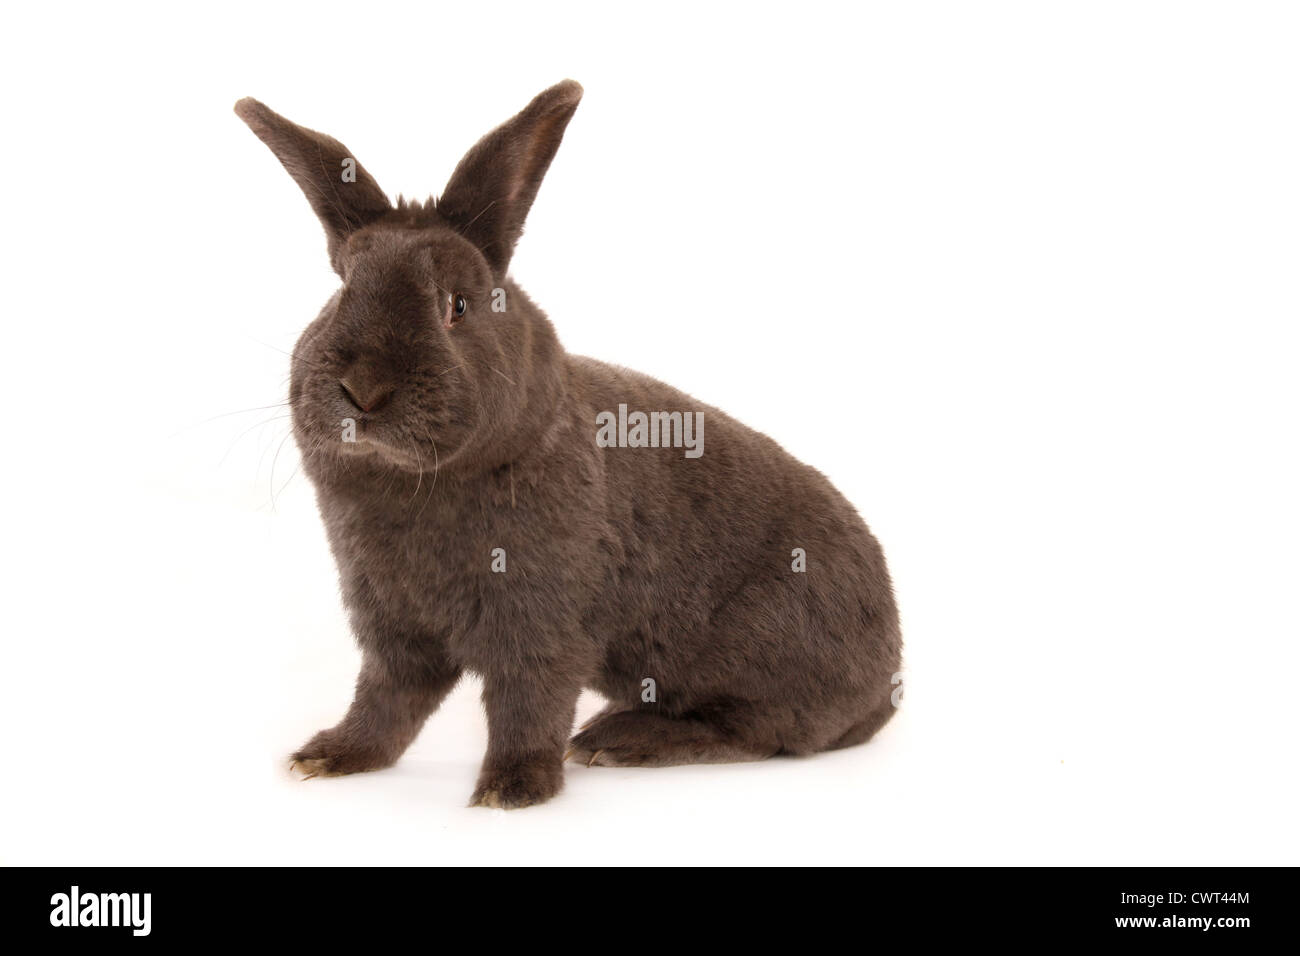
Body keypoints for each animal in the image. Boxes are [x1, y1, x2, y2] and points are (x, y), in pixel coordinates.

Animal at [233, 82, 899, 811]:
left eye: (456, 305)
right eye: (340, 290)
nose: (364, 390)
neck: (413, 482)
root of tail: (889, 677)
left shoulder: (543, 620)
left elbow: (529, 702)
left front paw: (511, 790)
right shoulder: (395, 630)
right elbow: (386, 703)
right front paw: (330, 757)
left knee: (762, 731)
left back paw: (618, 740)